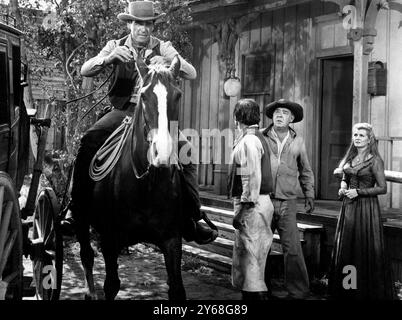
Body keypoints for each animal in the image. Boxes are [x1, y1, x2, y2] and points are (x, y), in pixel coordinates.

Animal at [76, 54, 186, 300]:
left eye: (178, 95)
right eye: (143, 95)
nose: (162, 153)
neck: (145, 185)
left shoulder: (172, 239)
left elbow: (176, 288)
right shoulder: (109, 238)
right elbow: (111, 285)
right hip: (82, 219)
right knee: (86, 254)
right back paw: (89, 291)